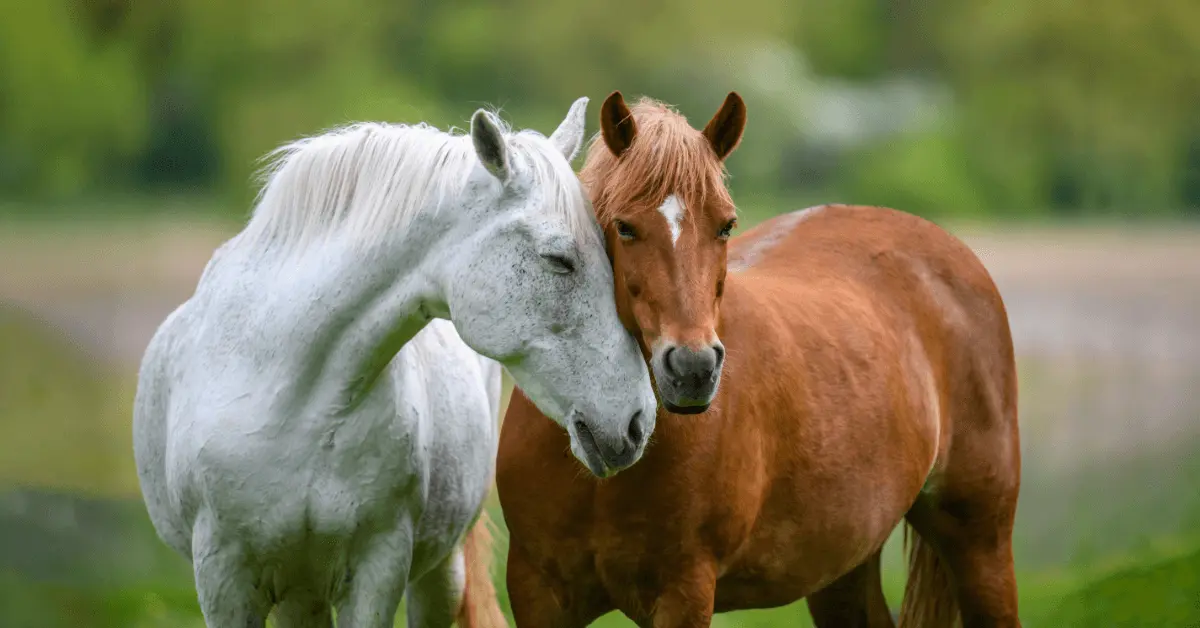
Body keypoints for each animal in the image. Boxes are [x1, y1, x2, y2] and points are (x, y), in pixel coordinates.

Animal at [133, 99, 657, 628]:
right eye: (559, 259)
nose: (638, 421)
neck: (288, 396)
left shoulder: (376, 569)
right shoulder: (224, 580)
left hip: (436, 576)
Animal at [496, 92, 1022, 628]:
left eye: (725, 225)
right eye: (624, 227)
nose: (692, 369)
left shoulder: (684, 592)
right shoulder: (538, 593)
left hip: (980, 543)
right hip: (843, 568)